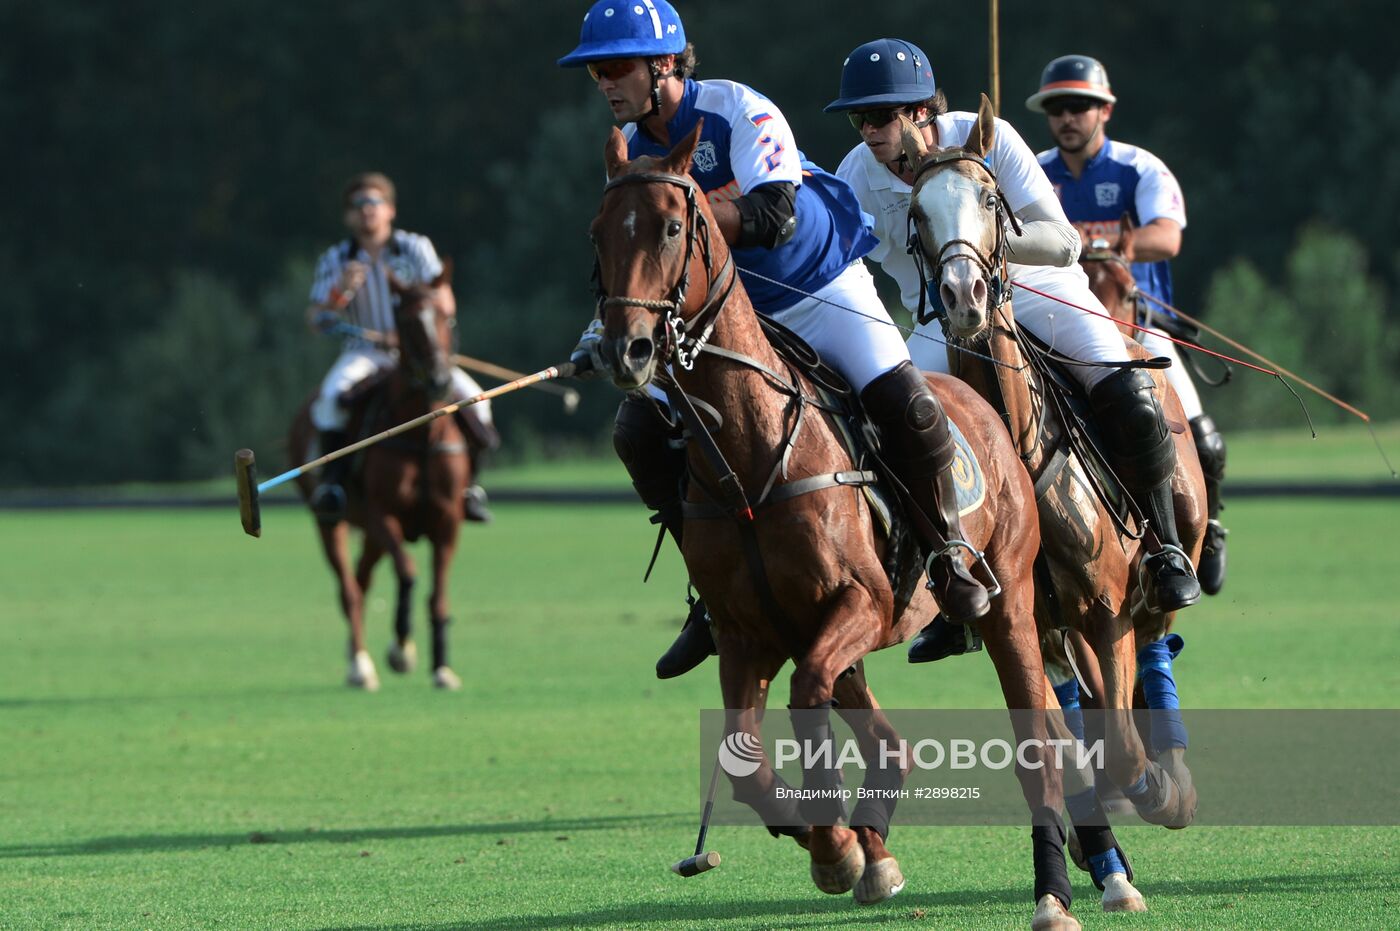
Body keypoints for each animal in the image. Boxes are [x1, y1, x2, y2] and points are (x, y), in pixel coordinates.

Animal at [285, 273, 470, 686]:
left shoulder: (448, 521)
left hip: (371, 533)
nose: (439, 380)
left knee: (361, 578)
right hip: (331, 521)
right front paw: (401, 647)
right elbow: (408, 571)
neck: (421, 437)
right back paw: (360, 665)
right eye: (407, 322)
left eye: (448, 317)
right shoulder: (383, 514)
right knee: (349, 589)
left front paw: (441, 666)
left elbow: (438, 595)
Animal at [590, 121, 1080, 924]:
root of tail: (979, 402)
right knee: (887, 744)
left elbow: (804, 702)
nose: (623, 348)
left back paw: (1051, 892)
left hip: (1006, 600)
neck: (749, 458)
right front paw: (830, 842)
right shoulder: (746, 633)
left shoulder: (862, 602)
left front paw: (835, 841)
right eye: (597, 232)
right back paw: (872, 849)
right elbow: (744, 756)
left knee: (1032, 740)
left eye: (669, 226)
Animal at [901, 100, 1209, 840]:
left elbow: (1120, 744)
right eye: (915, 213)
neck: (1019, 441)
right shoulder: (1030, 619)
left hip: (1169, 544)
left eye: (990, 198)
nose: (963, 293)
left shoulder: (1103, 603)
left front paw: (1157, 789)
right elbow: (1074, 733)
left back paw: (1173, 772)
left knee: (1158, 630)